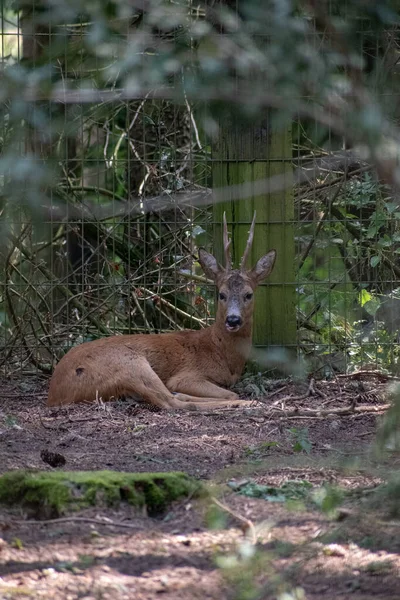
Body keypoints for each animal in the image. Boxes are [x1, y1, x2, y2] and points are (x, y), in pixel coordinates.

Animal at [47, 213, 276, 410]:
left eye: (249, 294)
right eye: (221, 294)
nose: (233, 320)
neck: (222, 352)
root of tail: (55, 393)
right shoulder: (187, 375)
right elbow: (229, 392)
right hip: (132, 363)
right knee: (170, 401)